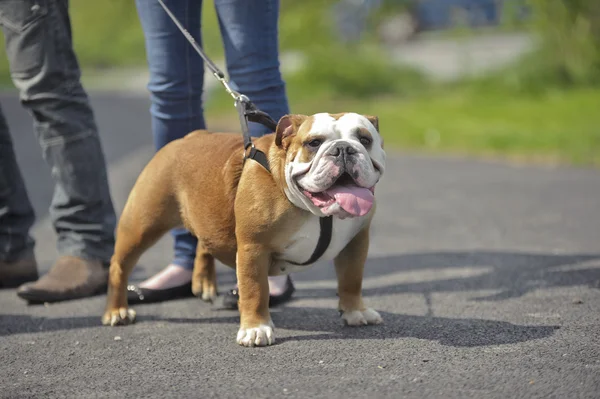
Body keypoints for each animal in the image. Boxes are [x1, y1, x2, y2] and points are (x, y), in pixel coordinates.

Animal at [101, 112, 386, 346]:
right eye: (313, 143)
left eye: (365, 139)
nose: (343, 149)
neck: (320, 214)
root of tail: (188, 138)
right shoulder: (253, 248)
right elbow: (255, 290)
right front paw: (256, 329)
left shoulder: (356, 242)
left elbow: (351, 279)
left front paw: (355, 311)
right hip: (142, 225)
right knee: (119, 266)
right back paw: (117, 311)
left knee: (205, 240)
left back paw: (204, 283)